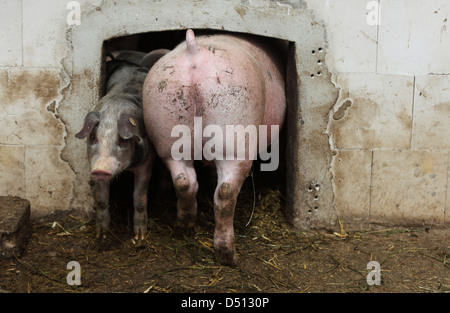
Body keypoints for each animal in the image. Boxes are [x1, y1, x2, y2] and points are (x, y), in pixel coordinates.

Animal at [142, 29, 286, 264]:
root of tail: (194, 52)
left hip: (164, 125)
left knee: (184, 181)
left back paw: (185, 228)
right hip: (235, 130)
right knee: (225, 192)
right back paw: (229, 257)